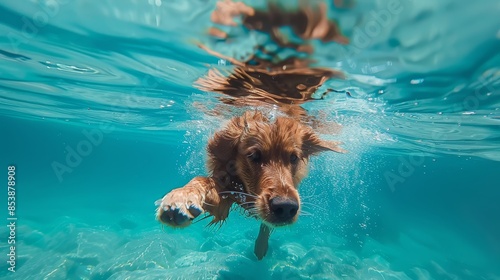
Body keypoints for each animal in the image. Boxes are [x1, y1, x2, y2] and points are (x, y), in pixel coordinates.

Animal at [154, 110, 346, 260]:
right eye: (253, 155)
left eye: (293, 158)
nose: (285, 207)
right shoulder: (226, 192)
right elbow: (201, 180)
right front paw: (180, 198)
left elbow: (266, 225)